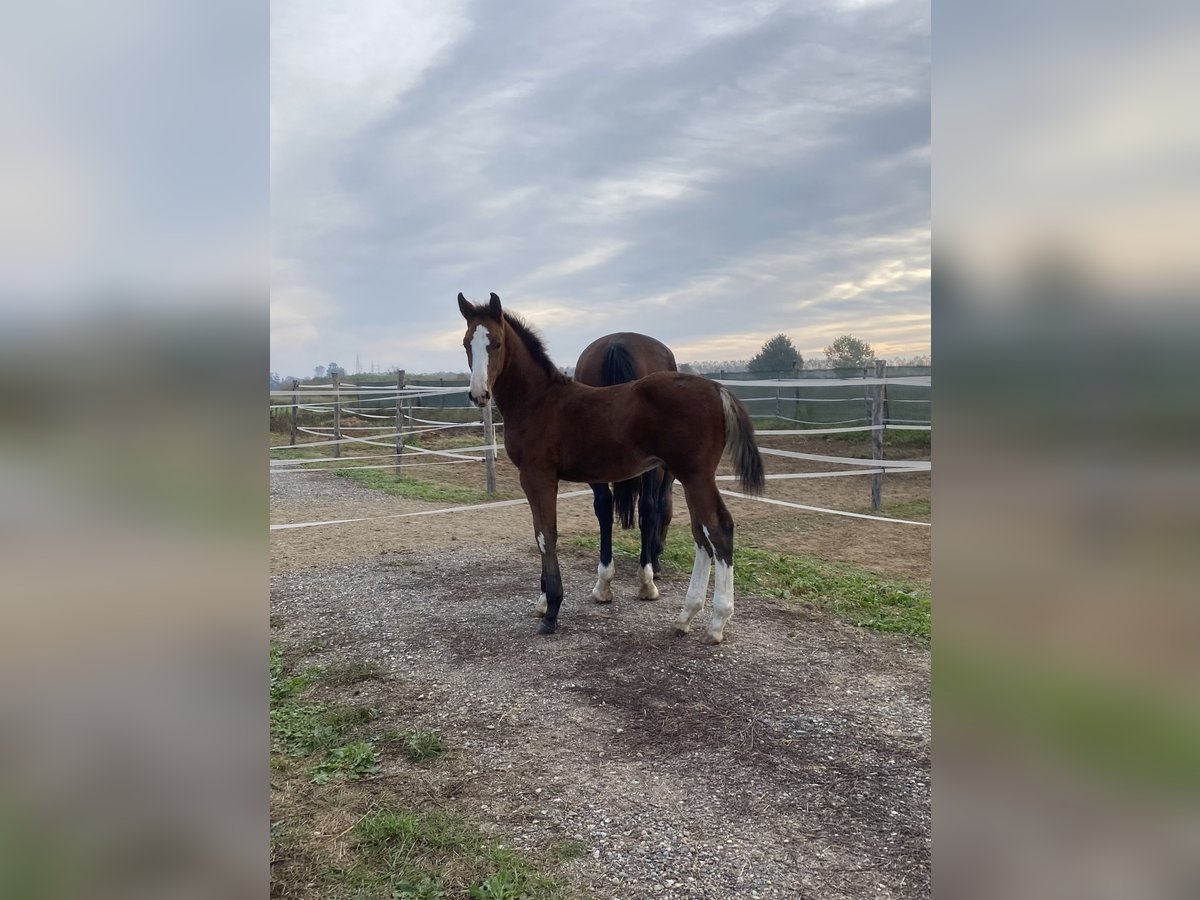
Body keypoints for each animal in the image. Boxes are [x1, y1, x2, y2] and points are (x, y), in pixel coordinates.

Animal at [574, 333, 677, 607]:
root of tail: (617, 343)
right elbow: (662, 507)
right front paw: (655, 558)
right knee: (649, 507)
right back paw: (647, 582)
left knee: (603, 505)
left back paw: (604, 584)